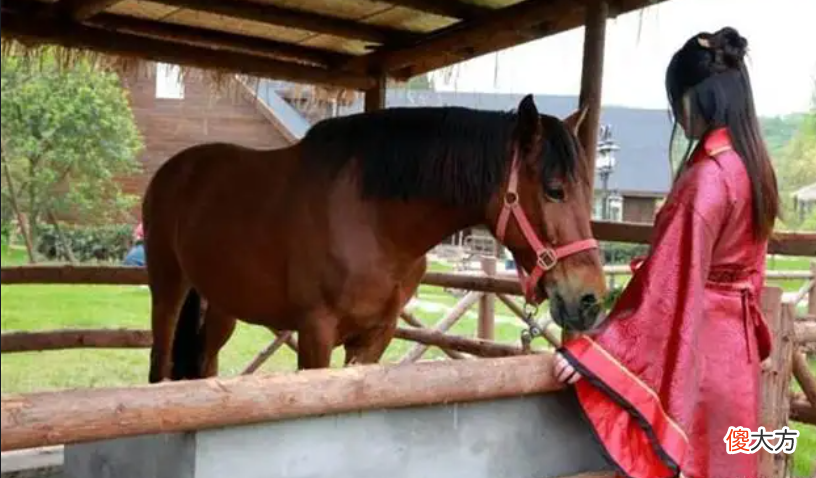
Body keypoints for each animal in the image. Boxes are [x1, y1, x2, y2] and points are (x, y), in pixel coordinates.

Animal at [142, 94, 608, 383]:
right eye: (554, 189)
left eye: (590, 190)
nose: (589, 299)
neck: (374, 223)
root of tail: (176, 169)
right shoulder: (315, 332)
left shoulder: (375, 336)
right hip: (168, 291)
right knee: (159, 363)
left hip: (221, 304)